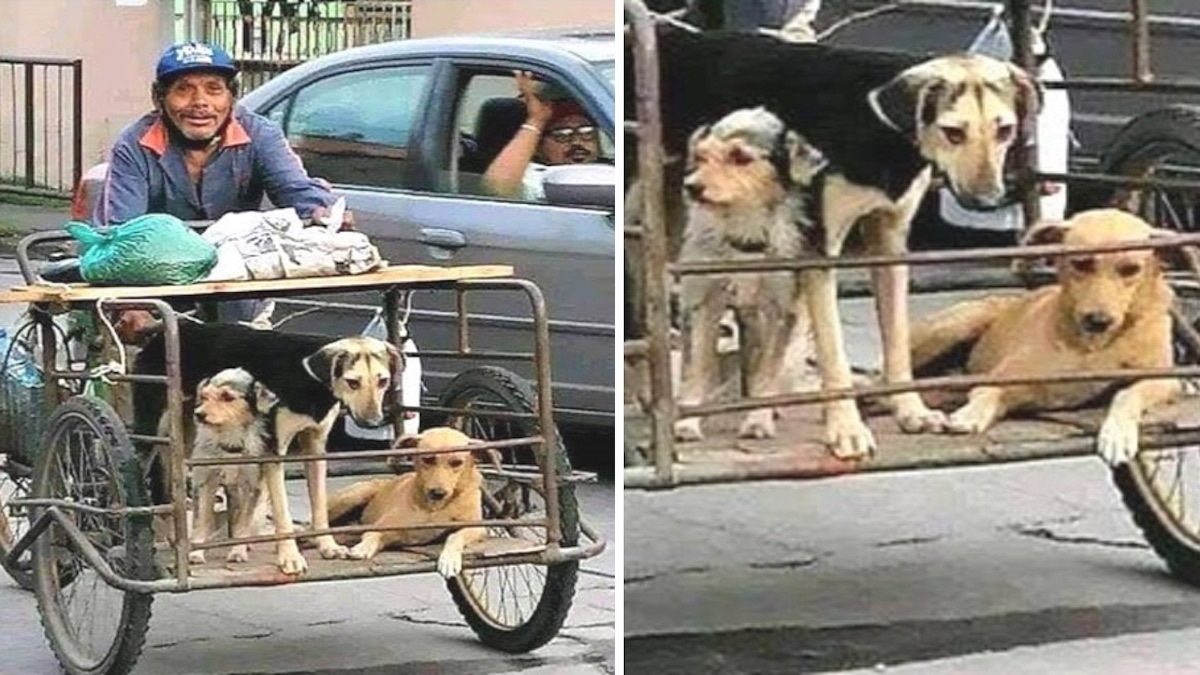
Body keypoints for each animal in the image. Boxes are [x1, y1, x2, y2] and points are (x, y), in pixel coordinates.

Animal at [326, 427, 494, 576]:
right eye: (427, 459)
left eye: (457, 462)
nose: (438, 493)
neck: (434, 508)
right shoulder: (384, 526)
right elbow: (372, 535)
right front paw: (363, 547)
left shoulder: (476, 527)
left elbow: (454, 537)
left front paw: (449, 559)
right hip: (355, 495)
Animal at [907, 207, 1180, 466]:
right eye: (1080, 263)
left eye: (1131, 269)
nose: (1098, 321)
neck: (1090, 346)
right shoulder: (1007, 377)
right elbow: (987, 392)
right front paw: (971, 413)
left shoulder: (1166, 380)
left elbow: (1127, 395)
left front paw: (1117, 433)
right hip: (955, 324)